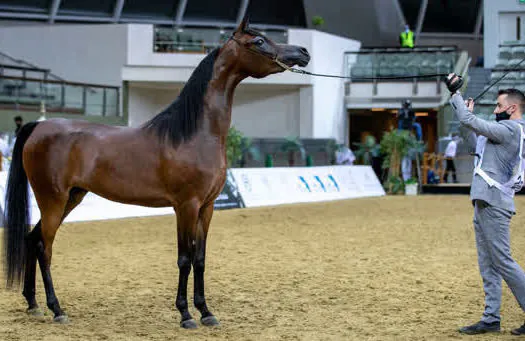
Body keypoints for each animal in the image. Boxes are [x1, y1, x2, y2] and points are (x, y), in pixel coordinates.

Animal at [2, 17, 310, 328]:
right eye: (258, 41)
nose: (303, 52)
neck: (194, 134)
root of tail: (39, 126)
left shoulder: (207, 207)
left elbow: (200, 259)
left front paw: (206, 312)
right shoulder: (186, 206)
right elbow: (184, 259)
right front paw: (186, 314)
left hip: (71, 198)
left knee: (32, 239)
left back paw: (33, 304)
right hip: (52, 199)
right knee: (44, 248)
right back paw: (57, 309)